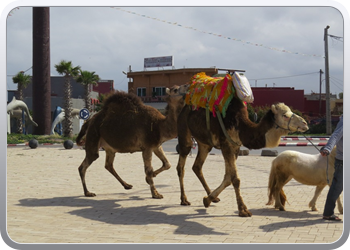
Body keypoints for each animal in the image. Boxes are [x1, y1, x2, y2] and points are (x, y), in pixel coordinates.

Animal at [176, 97, 308, 217]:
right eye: (285, 115)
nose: (305, 124)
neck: (241, 127)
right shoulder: (226, 145)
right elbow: (235, 179)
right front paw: (243, 210)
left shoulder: (235, 147)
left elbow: (228, 177)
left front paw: (207, 200)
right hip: (184, 131)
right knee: (181, 165)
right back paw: (184, 200)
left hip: (205, 143)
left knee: (197, 166)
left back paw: (212, 198)